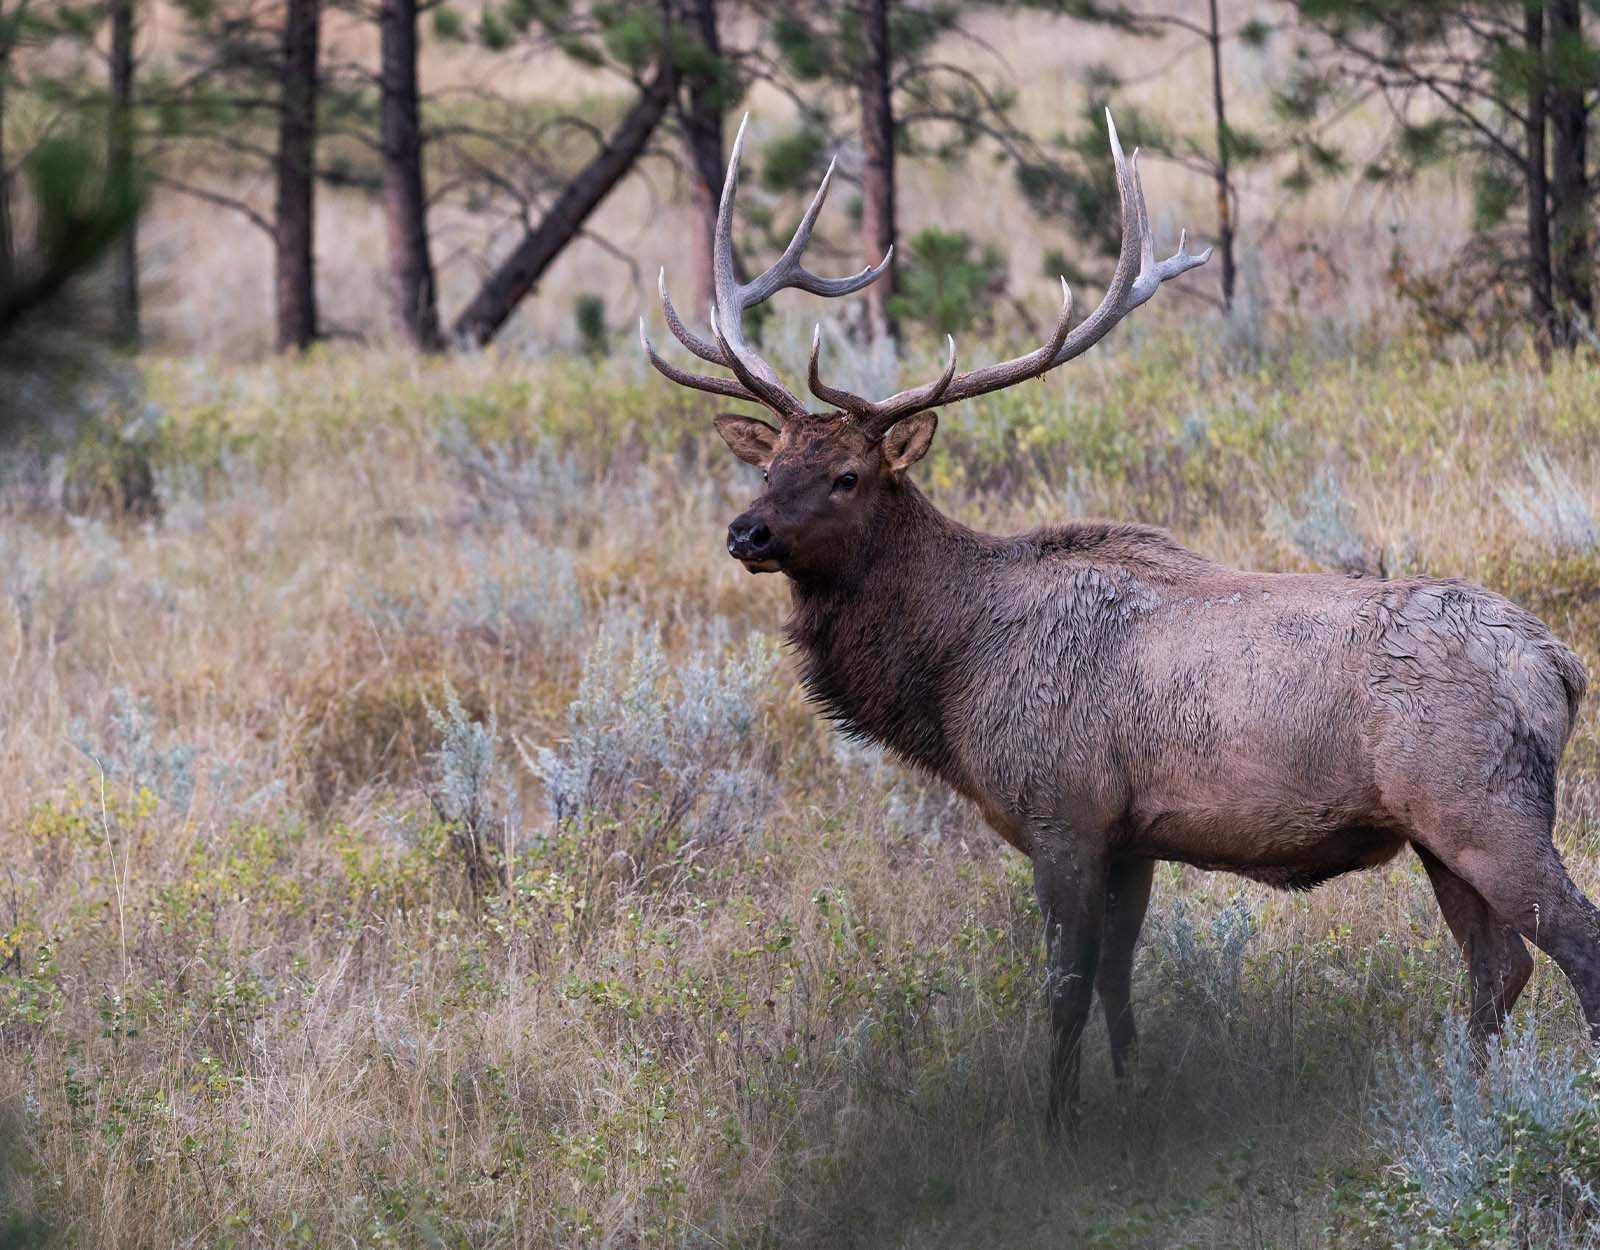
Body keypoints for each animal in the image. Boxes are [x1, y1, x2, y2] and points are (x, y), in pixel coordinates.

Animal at [638, 113, 1600, 1128]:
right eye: (768, 462)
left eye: (848, 475)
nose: (746, 531)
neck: (953, 671)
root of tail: (1560, 664)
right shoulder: (1130, 835)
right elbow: (1116, 980)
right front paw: (1133, 1094)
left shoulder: (1061, 810)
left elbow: (1065, 984)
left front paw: (1055, 1125)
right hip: (1438, 829)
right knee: (1498, 964)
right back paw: (1469, 1106)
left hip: (1482, 802)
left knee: (1575, 943)